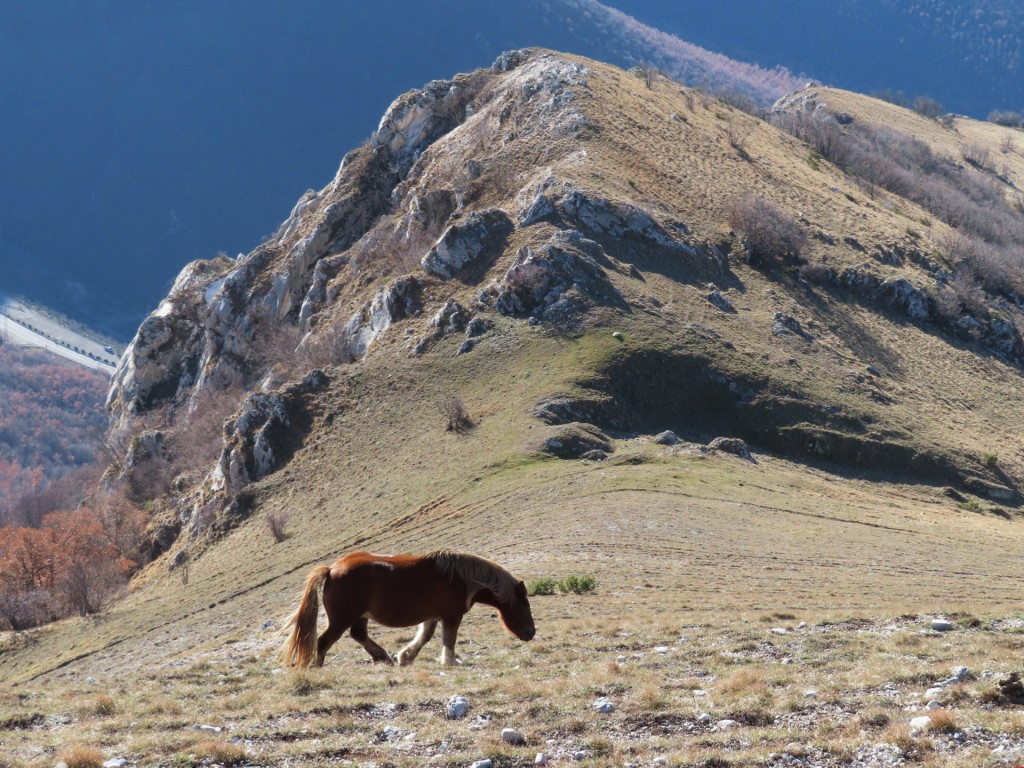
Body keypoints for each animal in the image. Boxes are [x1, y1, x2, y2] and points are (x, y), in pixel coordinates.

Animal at [280, 552, 536, 667]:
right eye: (525, 605)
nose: (531, 633)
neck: (463, 579)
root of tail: (332, 570)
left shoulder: (433, 616)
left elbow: (424, 637)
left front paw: (405, 657)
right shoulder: (451, 616)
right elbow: (448, 640)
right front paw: (450, 662)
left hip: (360, 616)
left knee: (358, 634)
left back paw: (383, 656)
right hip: (342, 618)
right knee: (324, 641)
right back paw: (317, 666)